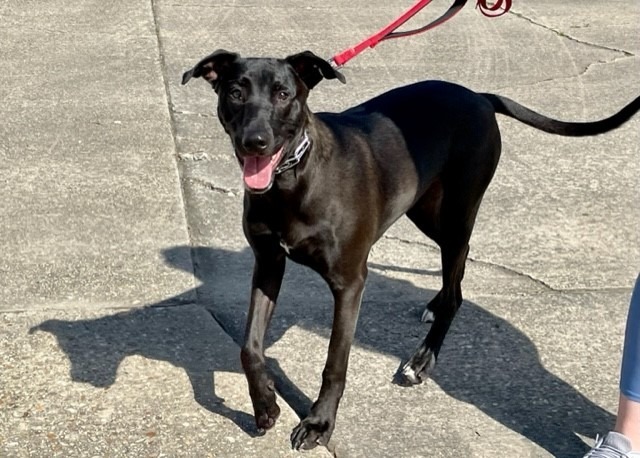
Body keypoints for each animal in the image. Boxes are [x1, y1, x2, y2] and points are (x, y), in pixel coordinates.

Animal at [181, 51, 640, 450]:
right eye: (235, 92)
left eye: (283, 94)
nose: (254, 142)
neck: (293, 178)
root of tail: (478, 96)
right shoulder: (268, 263)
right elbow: (249, 348)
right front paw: (265, 406)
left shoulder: (350, 282)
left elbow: (335, 365)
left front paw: (319, 423)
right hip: (424, 209)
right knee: (458, 270)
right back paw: (435, 306)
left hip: (454, 215)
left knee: (457, 285)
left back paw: (422, 360)